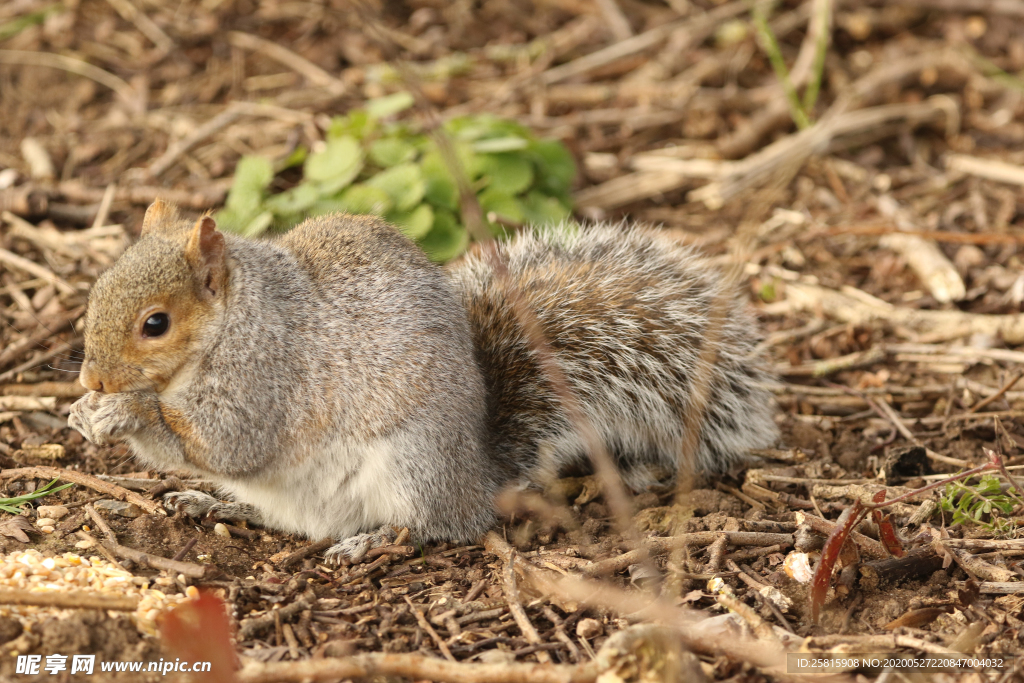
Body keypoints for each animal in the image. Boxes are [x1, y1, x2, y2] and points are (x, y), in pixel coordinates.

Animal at [68, 200, 778, 565]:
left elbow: (225, 444)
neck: (237, 321)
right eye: (95, 291)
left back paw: (374, 540)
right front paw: (85, 410)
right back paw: (217, 504)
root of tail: (477, 475)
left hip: (414, 464)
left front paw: (127, 411)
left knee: (436, 527)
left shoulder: (265, 381)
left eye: (155, 324)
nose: (92, 376)